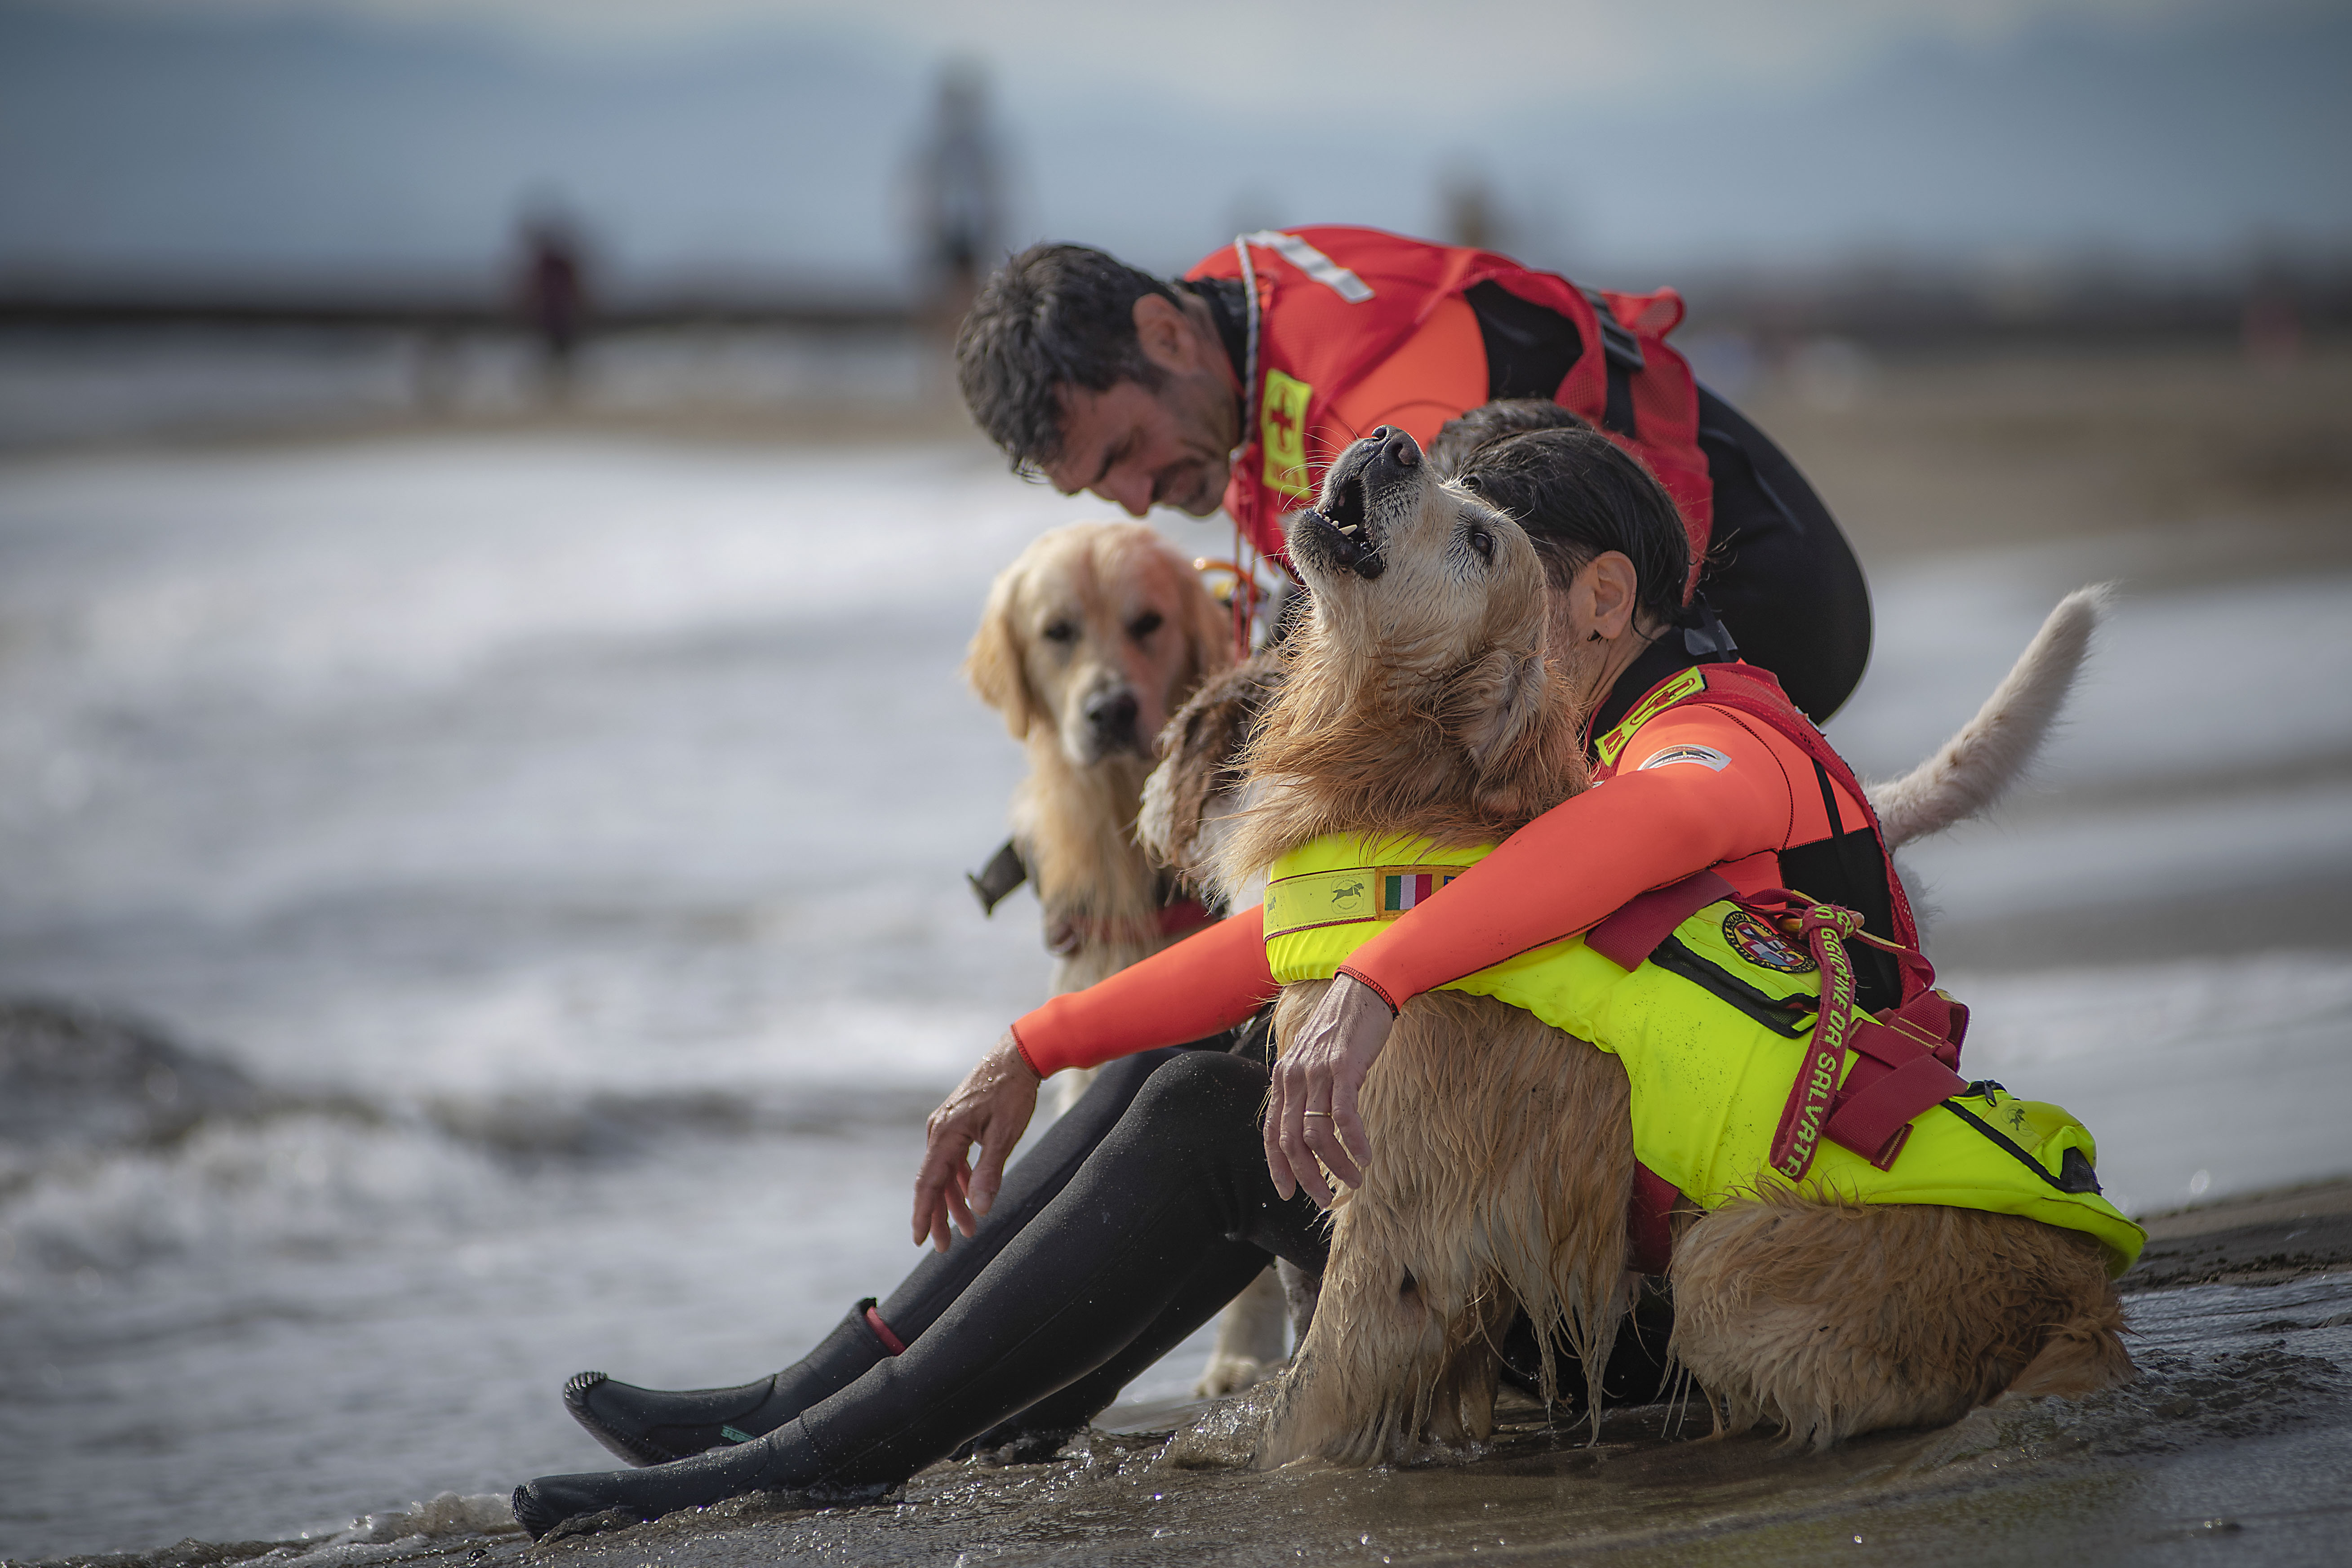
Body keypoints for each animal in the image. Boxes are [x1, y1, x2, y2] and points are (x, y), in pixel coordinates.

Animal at [1214, 425, 2135, 1476]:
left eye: (1483, 542)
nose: (1390, 440)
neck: (1408, 794)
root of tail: (2087, 1296)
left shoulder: (1401, 1222)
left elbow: (1314, 1396)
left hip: (1723, 1263)